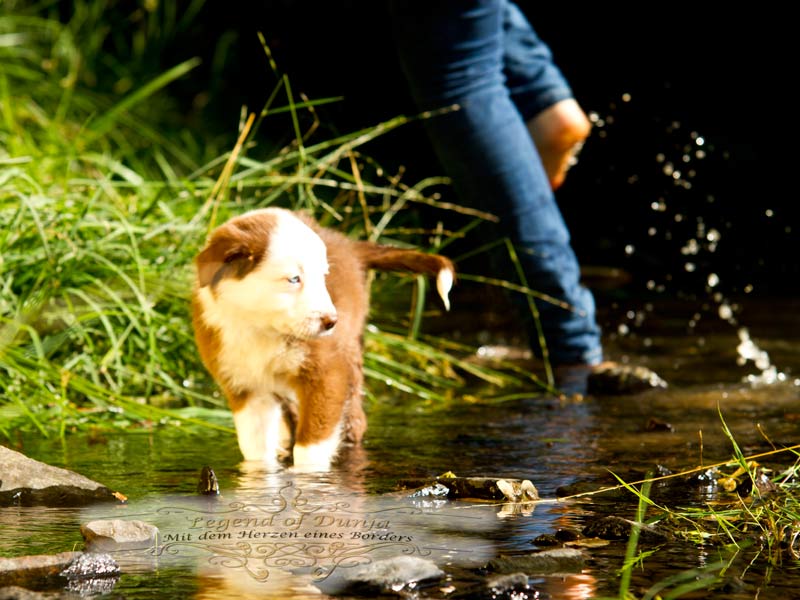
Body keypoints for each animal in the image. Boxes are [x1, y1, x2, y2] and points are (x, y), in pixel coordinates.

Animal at [190, 209, 454, 472]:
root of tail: (349, 244)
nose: (332, 322)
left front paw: (309, 477)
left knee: (353, 421)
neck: (261, 328)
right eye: (294, 279)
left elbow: (310, 446)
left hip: (351, 356)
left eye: (323, 277)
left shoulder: (327, 372)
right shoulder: (245, 386)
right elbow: (256, 451)